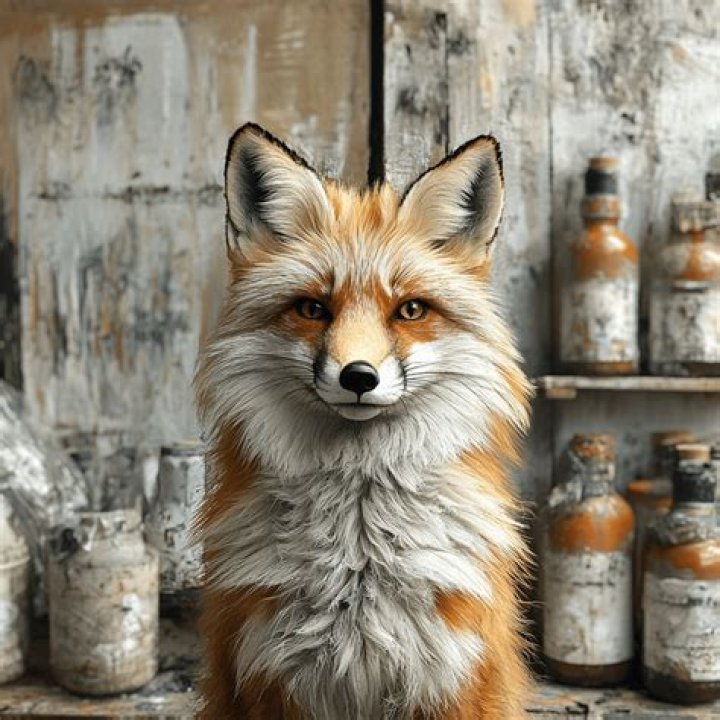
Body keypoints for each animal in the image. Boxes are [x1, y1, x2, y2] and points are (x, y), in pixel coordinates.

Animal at [194, 122, 533, 720]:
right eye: (312, 309)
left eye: (410, 310)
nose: (358, 376)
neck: (359, 556)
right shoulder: (269, 676)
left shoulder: (454, 675)